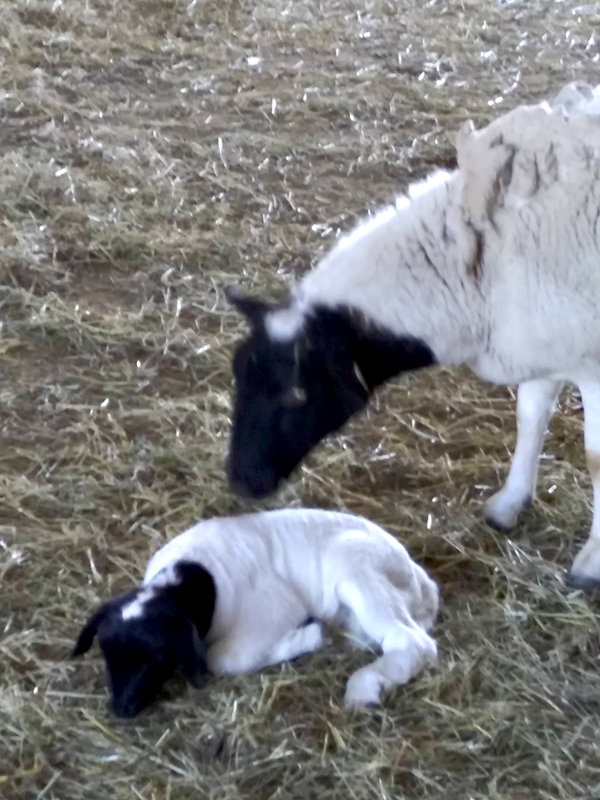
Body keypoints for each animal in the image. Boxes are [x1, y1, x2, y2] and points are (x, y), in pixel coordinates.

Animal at [72, 510, 438, 720]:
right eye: (106, 653)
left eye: (157, 658)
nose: (121, 709)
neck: (192, 576)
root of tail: (422, 583)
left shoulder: (274, 610)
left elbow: (223, 659)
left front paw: (308, 636)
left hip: (357, 572)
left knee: (415, 643)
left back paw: (364, 687)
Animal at [226, 83, 600, 588]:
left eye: (296, 394)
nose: (240, 481)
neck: (482, 263)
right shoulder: (542, 338)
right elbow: (530, 416)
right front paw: (508, 504)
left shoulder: (591, 362)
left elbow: (595, 457)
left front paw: (592, 561)